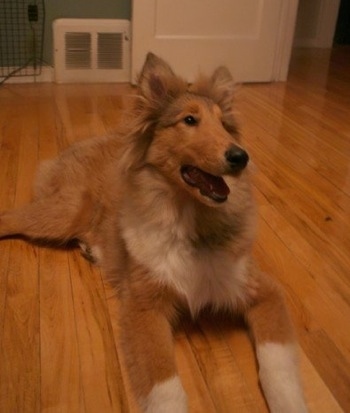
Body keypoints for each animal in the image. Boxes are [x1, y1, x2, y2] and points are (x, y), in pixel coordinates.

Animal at [0, 53, 306, 410]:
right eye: (189, 120)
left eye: (224, 125)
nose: (241, 156)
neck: (188, 220)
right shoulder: (143, 308)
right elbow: (165, 386)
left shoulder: (265, 292)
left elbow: (278, 368)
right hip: (63, 213)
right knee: (9, 217)